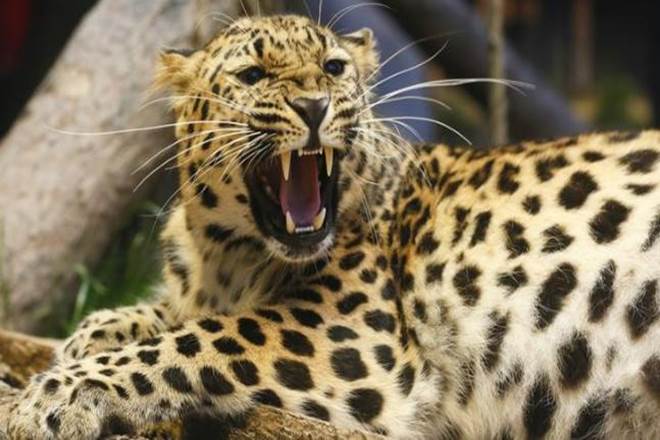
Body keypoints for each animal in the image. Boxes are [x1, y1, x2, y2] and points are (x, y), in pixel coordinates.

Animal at [6, 14, 660, 440]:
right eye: (252, 75)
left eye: (333, 67)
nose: (315, 105)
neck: (225, 258)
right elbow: (152, 316)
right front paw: (85, 338)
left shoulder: (351, 333)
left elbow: (197, 338)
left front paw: (51, 397)